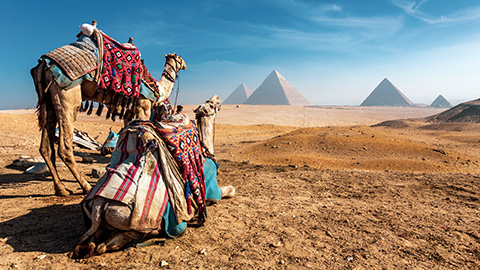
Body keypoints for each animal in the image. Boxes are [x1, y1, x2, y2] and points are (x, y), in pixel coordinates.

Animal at [31, 32, 186, 196]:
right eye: (180, 58)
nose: (185, 64)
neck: (158, 88)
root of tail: (42, 65)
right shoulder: (143, 107)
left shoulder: (129, 113)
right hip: (66, 95)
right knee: (64, 147)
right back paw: (86, 187)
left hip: (48, 101)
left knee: (45, 147)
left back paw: (61, 189)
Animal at [71, 95, 234, 258]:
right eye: (211, 105)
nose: (217, 98)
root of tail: (99, 205)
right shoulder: (212, 189)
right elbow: (230, 191)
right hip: (132, 222)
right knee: (110, 243)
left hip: (97, 220)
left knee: (95, 240)